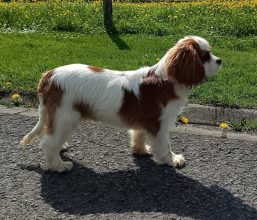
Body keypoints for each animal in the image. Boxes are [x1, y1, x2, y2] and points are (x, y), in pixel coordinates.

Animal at [20, 36, 220, 173]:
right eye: (206, 56)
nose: (220, 60)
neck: (167, 79)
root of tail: (48, 76)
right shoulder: (160, 124)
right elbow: (165, 146)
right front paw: (173, 160)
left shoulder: (145, 120)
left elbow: (139, 135)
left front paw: (141, 151)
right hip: (66, 117)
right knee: (49, 143)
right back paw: (59, 166)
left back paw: (61, 148)